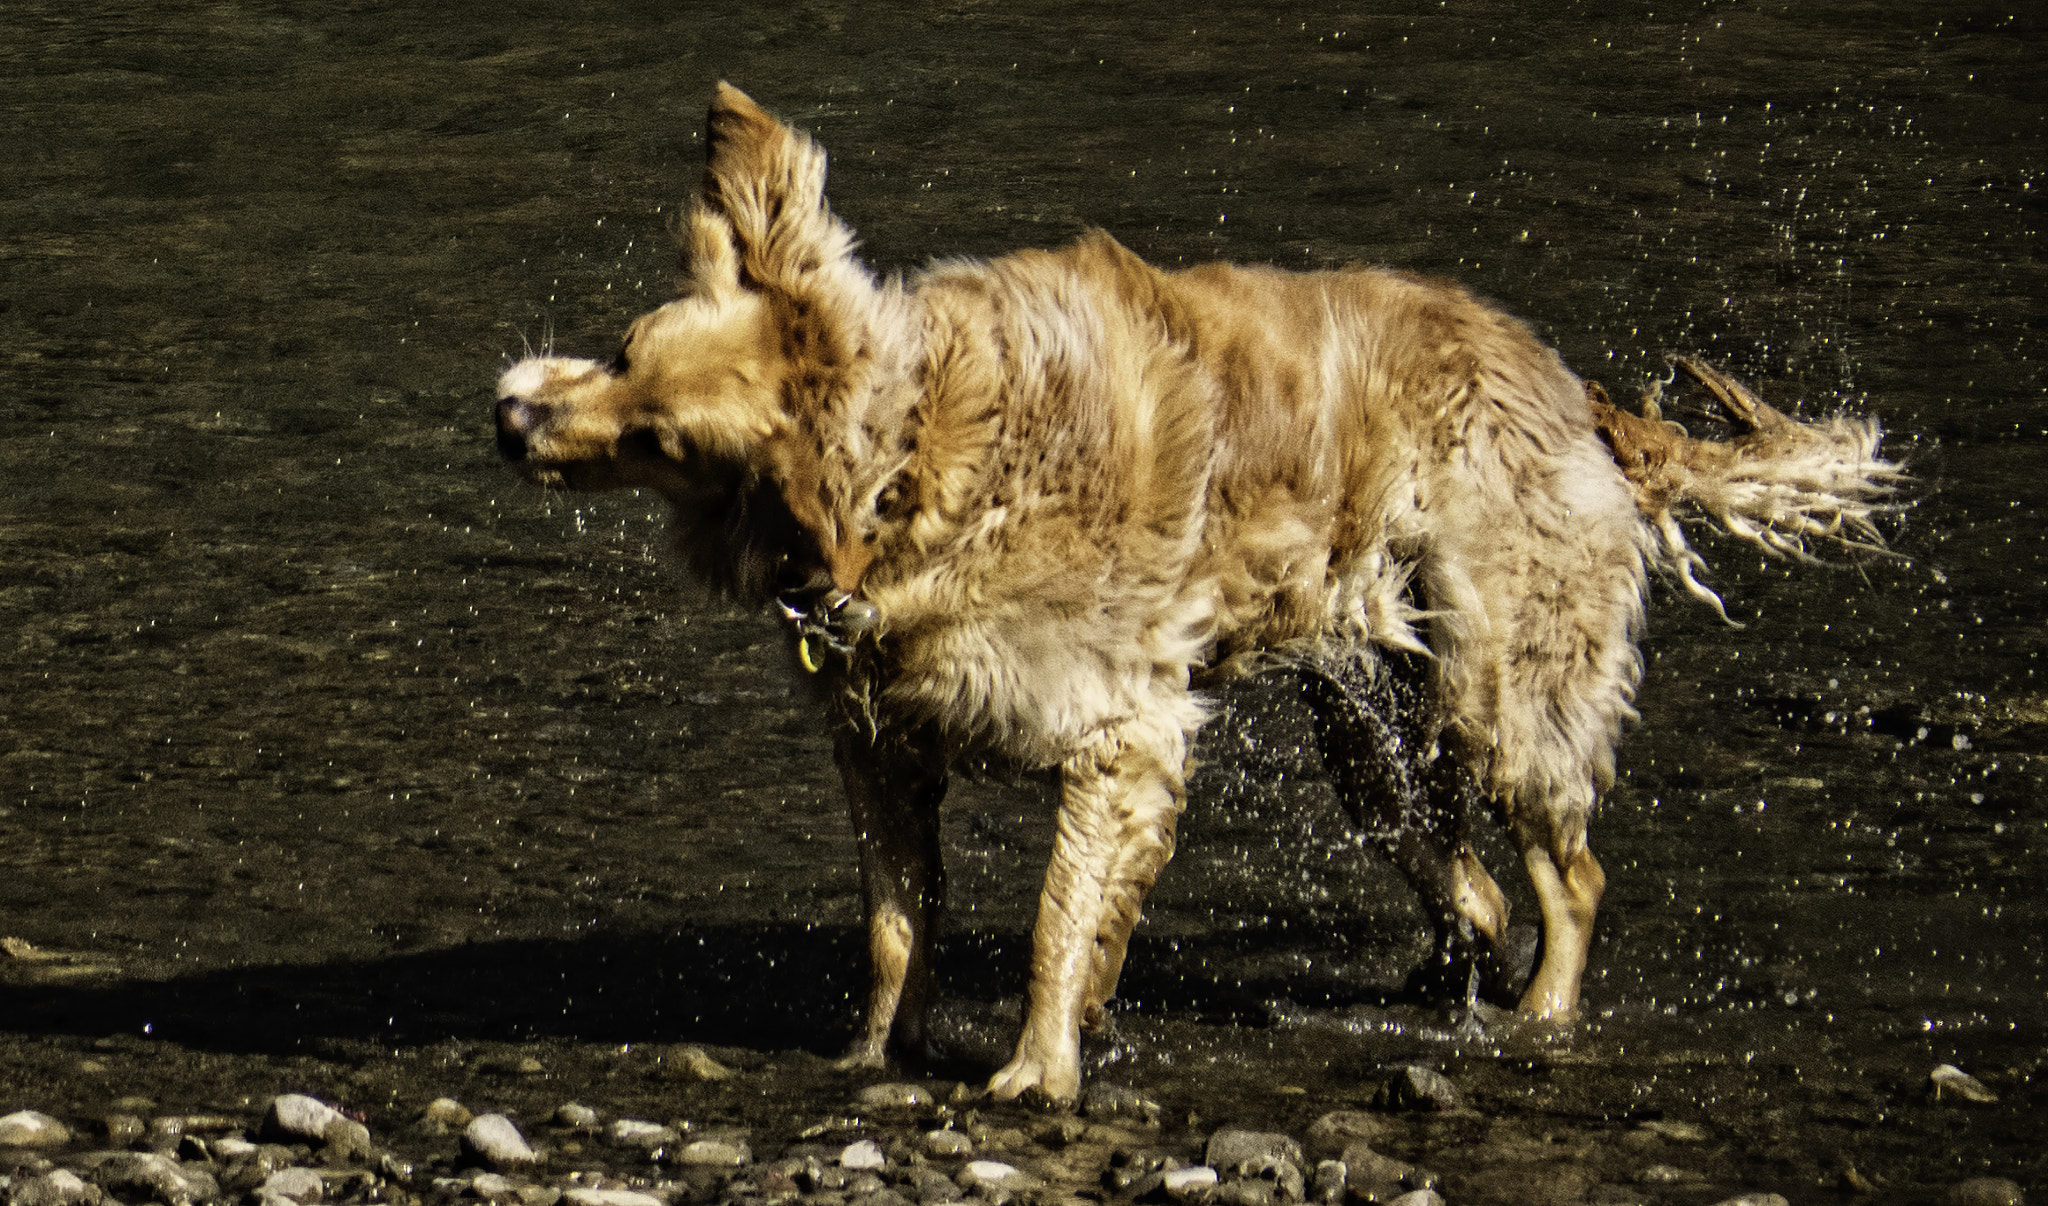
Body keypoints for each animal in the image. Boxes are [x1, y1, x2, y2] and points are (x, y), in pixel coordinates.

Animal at [499, 84, 1900, 1097]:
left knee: (1569, 880)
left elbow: (1057, 920)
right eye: (624, 354)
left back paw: (1538, 1021)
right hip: (1364, 734)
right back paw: (1444, 975)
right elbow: (898, 925)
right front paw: (870, 1057)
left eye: (660, 439)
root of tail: (1577, 397)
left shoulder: (1122, 737)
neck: (929, 469)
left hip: (1497, 691)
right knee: (1476, 883)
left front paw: (1035, 1073)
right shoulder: (881, 748)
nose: (509, 417)